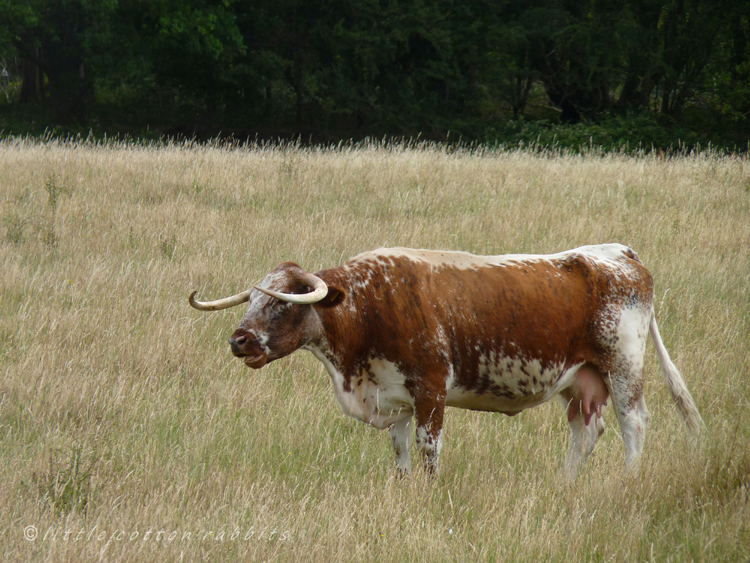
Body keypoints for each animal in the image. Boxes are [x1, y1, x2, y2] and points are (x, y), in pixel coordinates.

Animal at [189, 245, 704, 478]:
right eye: (253, 300)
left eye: (281, 304)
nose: (239, 341)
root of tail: (616, 251)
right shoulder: (394, 397)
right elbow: (400, 454)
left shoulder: (430, 391)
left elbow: (429, 449)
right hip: (580, 381)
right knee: (586, 430)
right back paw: (566, 482)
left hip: (623, 367)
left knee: (633, 423)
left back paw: (627, 479)